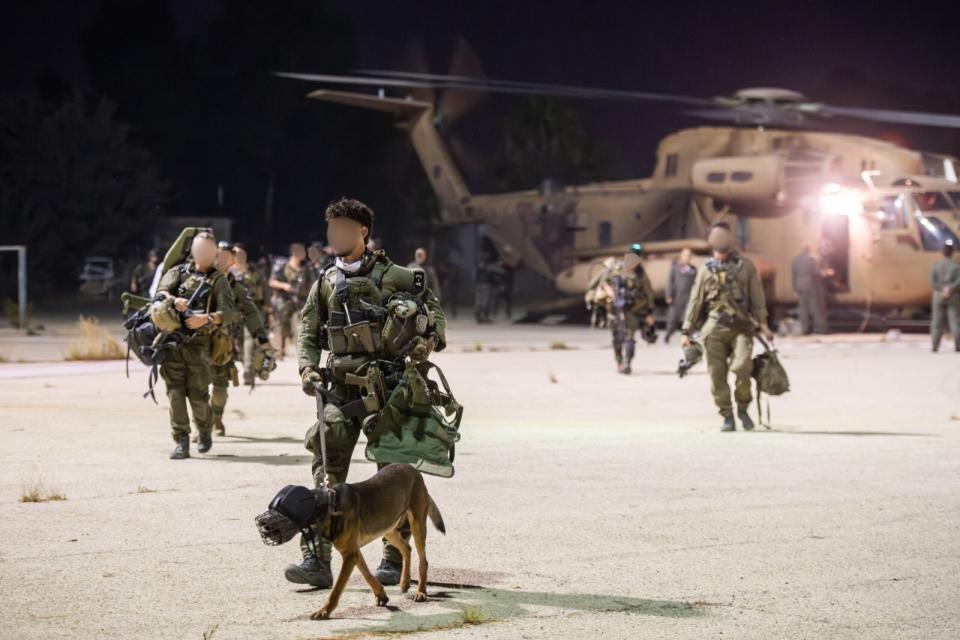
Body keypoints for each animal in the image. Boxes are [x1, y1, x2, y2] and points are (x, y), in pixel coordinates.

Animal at [314, 464, 444, 620]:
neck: (334, 504)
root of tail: (413, 469)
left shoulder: (350, 554)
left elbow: (337, 588)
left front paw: (324, 610)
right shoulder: (353, 552)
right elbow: (367, 574)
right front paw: (381, 595)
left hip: (417, 526)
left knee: (423, 561)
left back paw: (421, 592)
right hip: (388, 529)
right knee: (407, 548)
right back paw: (404, 582)